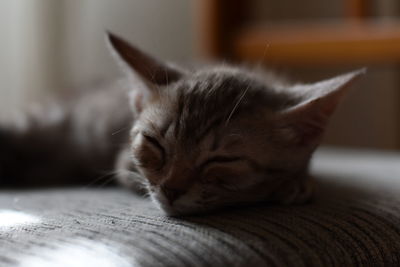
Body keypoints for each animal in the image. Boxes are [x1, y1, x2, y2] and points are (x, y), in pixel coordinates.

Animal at [0, 32, 362, 216]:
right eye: (155, 144)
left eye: (222, 160)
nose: (171, 189)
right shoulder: (123, 162)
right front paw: (289, 185)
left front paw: (295, 182)